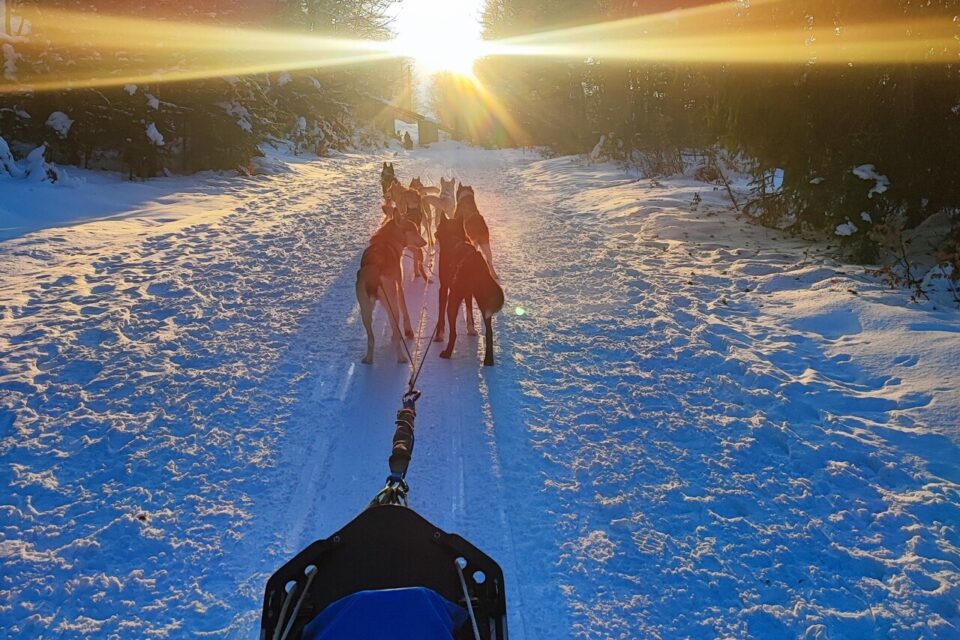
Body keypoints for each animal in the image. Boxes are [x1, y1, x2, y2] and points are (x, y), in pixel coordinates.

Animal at [356, 203, 427, 364]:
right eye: (413, 230)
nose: (425, 242)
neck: (387, 240)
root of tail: (374, 274)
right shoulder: (399, 287)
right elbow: (405, 312)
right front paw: (408, 331)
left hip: (365, 311)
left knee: (371, 339)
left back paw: (368, 359)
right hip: (392, 304)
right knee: (395, 333)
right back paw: (401, 357)